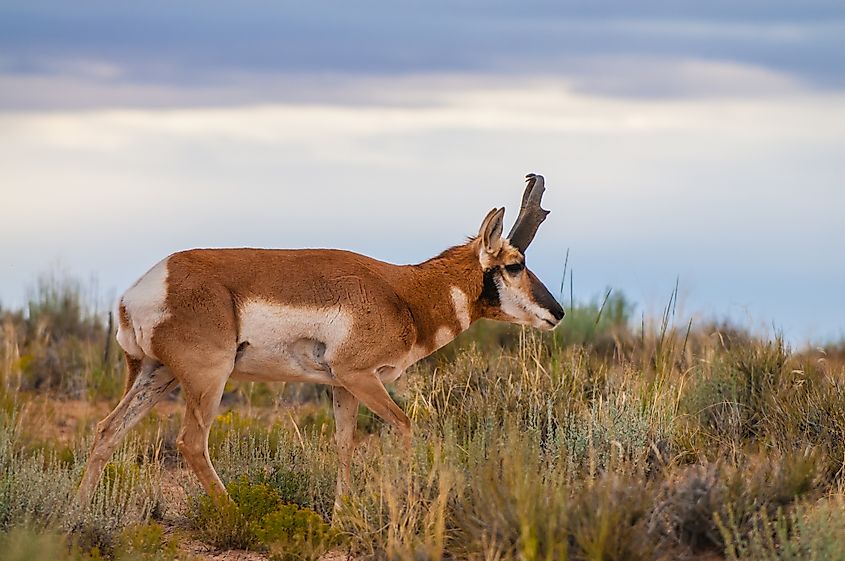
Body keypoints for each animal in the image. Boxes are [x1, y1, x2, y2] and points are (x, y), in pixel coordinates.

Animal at [76, 172, 564, 504]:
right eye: (515, 265)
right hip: (206, 380)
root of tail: (144, 287)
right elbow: (406, 426)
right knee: (190, 443)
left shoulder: (342, 386)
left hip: (156, 376)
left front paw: (343, 513)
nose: (558, 313)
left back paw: (79, 513)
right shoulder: (361, 376)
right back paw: (233, 511)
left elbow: (344, 444)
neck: (403, 293)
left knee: (107, 431)